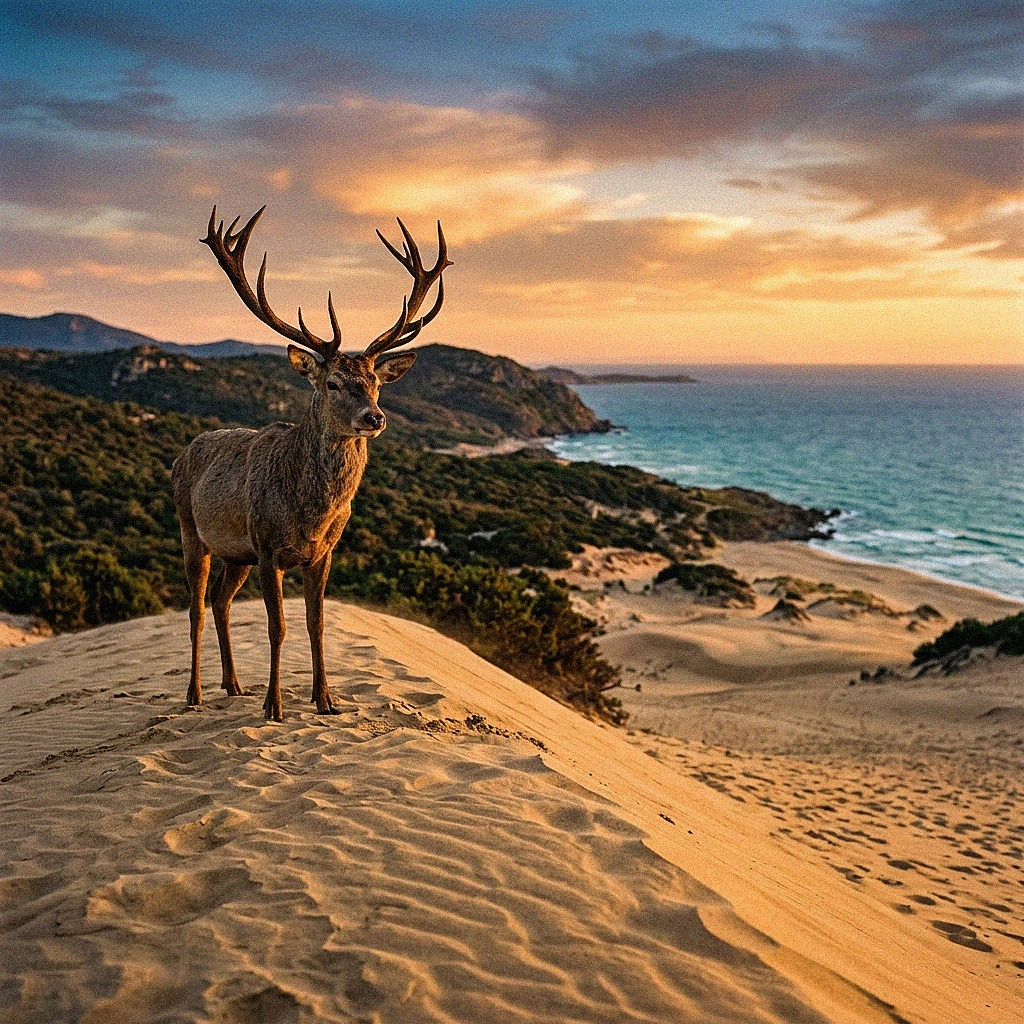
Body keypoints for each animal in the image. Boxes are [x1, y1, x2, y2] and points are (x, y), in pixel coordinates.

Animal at [172, 206, 451, 720]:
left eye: (375, 383)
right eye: (333, 383)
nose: (375, 417)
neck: (310, 515)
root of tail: (184, 453)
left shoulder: (321, 553)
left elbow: (316, 625)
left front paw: (326, 700)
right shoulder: (268, 548)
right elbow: (277, 627)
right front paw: (274, 706)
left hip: (236, 553)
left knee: (220, 601)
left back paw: (232, 684)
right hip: (190, 531)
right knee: (197, 607)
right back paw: (195, 693)